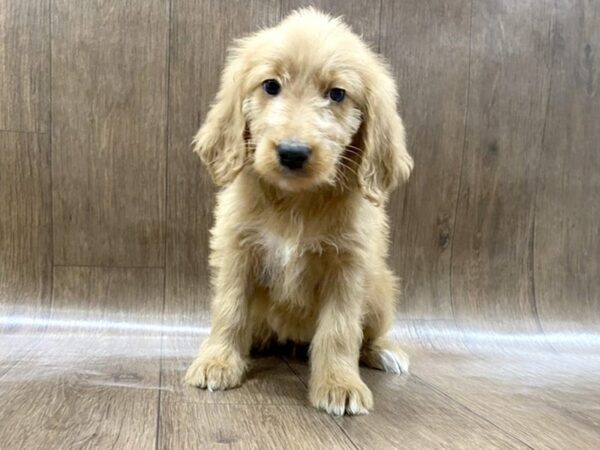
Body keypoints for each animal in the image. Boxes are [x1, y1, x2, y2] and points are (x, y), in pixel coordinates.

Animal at [186, 7, 412, 414]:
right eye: (270, 85)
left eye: (337, 94)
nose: (292, 153)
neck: (297, 202)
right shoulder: (237, 253)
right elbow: (230, 309)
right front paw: (217, 362)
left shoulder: (349, 266)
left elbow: (340, 330)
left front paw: (339, 384)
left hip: (381, 287)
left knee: (370, 333)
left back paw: (385, 351)